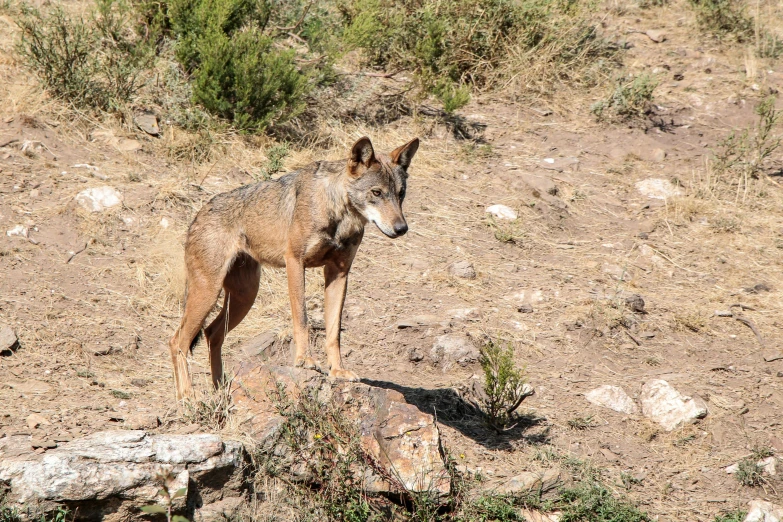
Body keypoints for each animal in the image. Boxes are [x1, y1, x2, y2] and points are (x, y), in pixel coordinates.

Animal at [169, 135, 420, 398]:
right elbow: (302, 319)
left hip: (244, 298)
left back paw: (220, 391)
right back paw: (187, 397)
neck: (338, 213)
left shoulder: (339, 273)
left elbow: (334, 331)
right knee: (177, 341)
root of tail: (198, 214)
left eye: (401, 194)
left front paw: (338, 371)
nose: (402, 228)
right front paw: (305, 360)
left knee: (211, 334)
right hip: (209, 293)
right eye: (376, 192)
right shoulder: (295, 263)